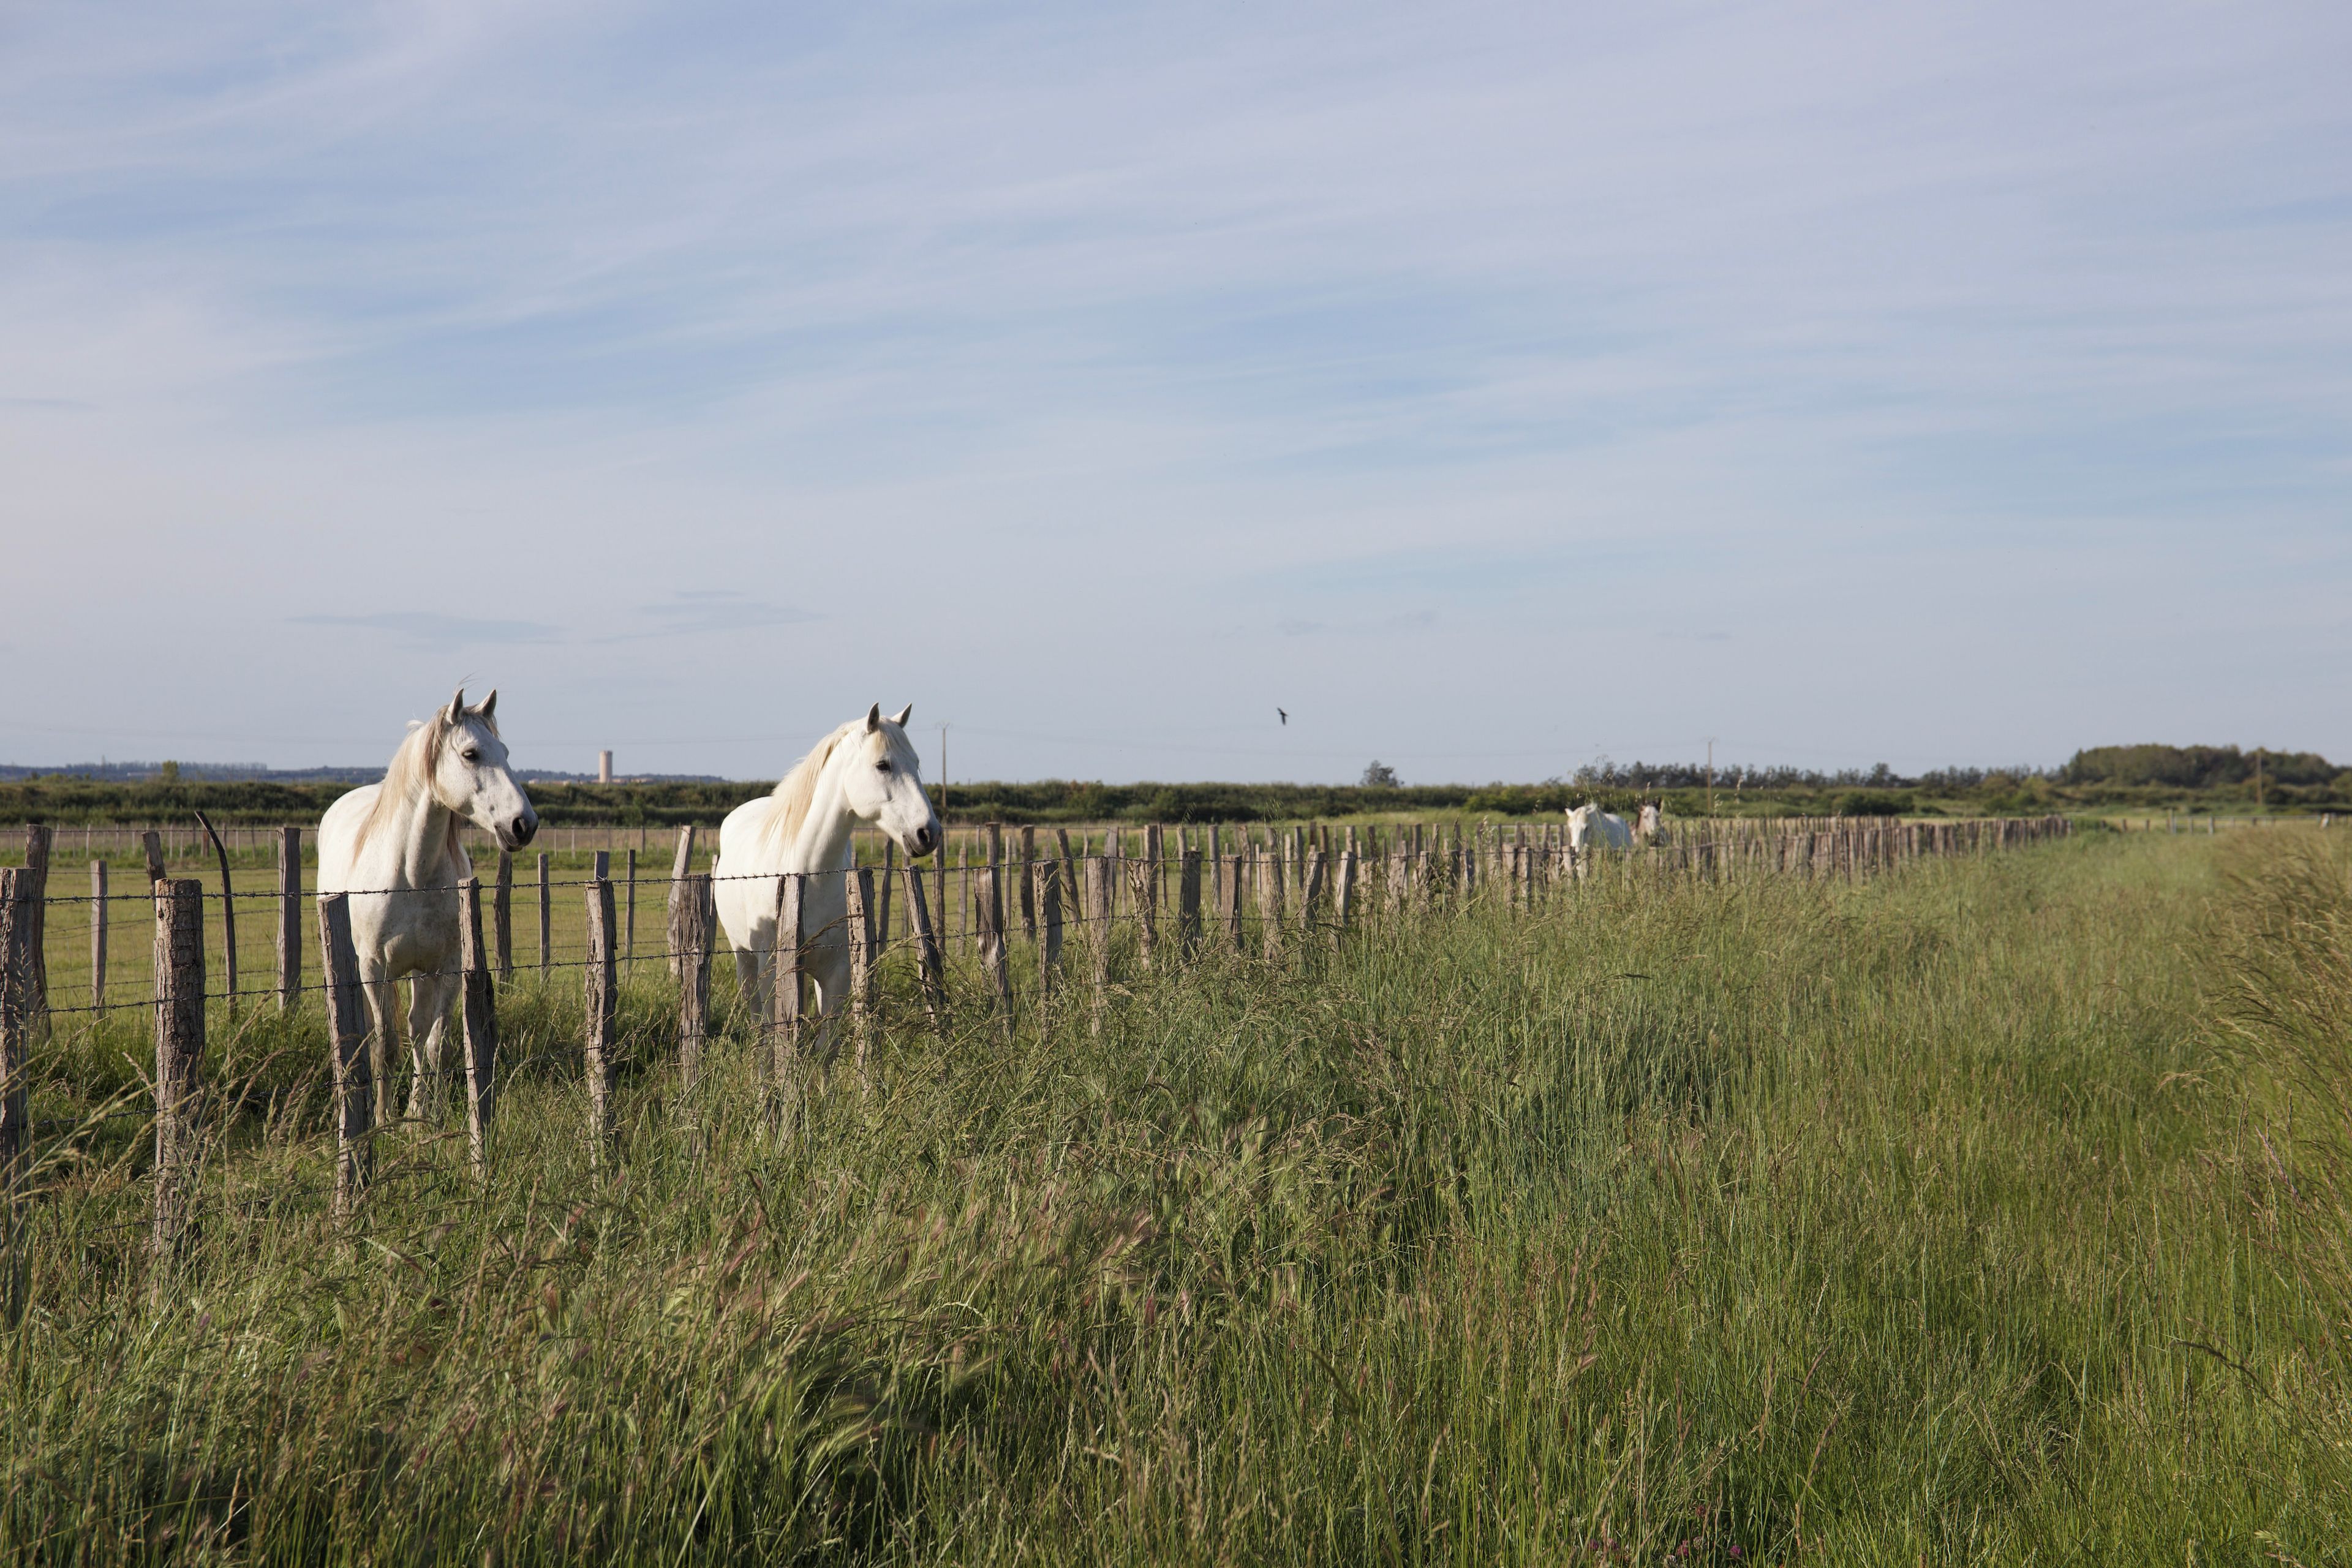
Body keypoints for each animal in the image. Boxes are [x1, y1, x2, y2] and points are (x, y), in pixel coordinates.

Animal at [316, 689, 539, 1121]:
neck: (411, 873)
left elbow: (435, 1045)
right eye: (471, 754)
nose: (524, 825)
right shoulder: (374, 968)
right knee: (366, 1031)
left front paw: (427, 1118)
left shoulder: (448, 967)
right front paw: (383, 1119)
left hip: (421, 972)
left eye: (504, 751)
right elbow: (384, 1046)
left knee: (418, 1031)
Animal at [712, 704, 940, 1057]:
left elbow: (825, 1048)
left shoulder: (837, 974)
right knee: (758, 1029)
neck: (807, 872)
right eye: (883, 765)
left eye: (916, 764)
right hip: (745, 962)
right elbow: (774, 1041)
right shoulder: (772, 972)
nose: (928, 833)